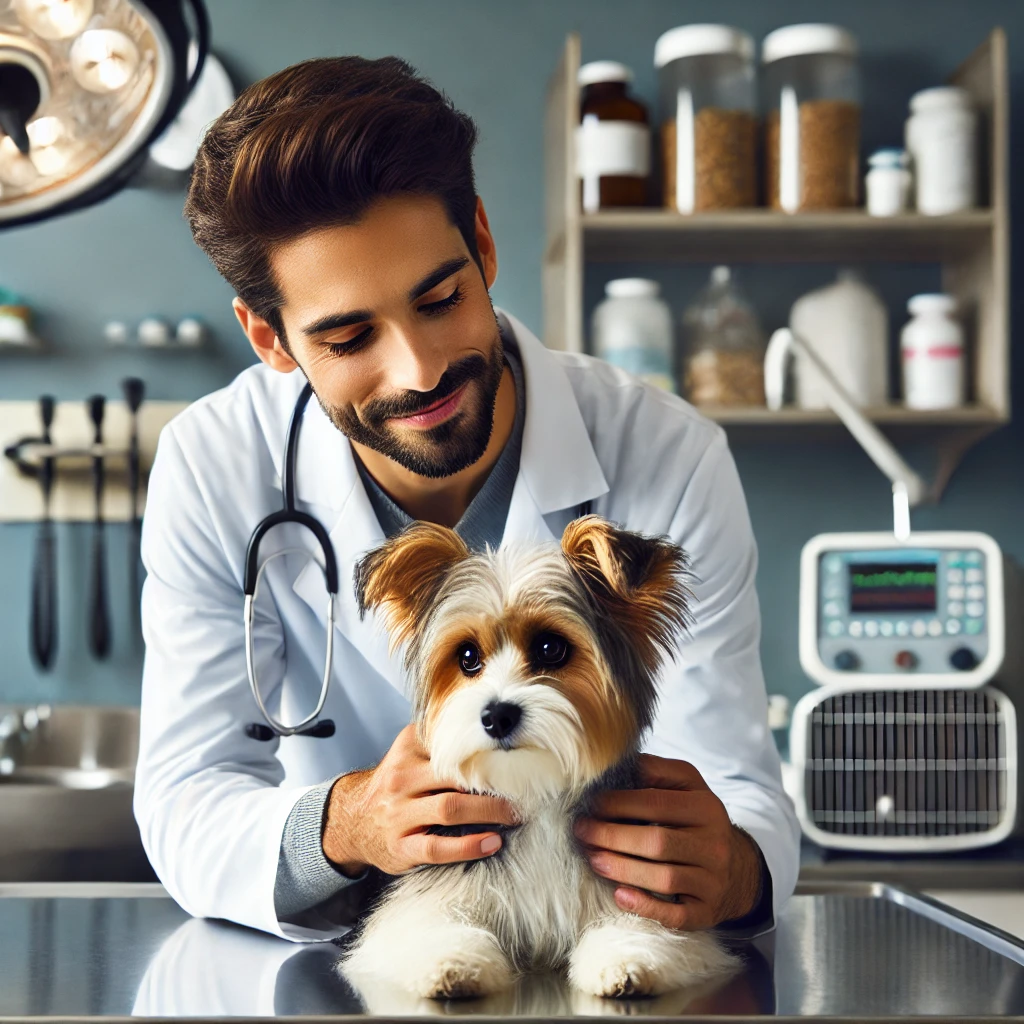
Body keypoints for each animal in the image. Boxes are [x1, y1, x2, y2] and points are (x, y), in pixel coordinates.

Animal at [342, 516, 737, 995]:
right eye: (468, 656)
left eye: (551, 648)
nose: (497, 715)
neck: (535, 790)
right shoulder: (440, 883)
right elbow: (426, 927)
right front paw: (452, 963)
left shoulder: (638, 888)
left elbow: (643, 924)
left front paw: (625, 960)